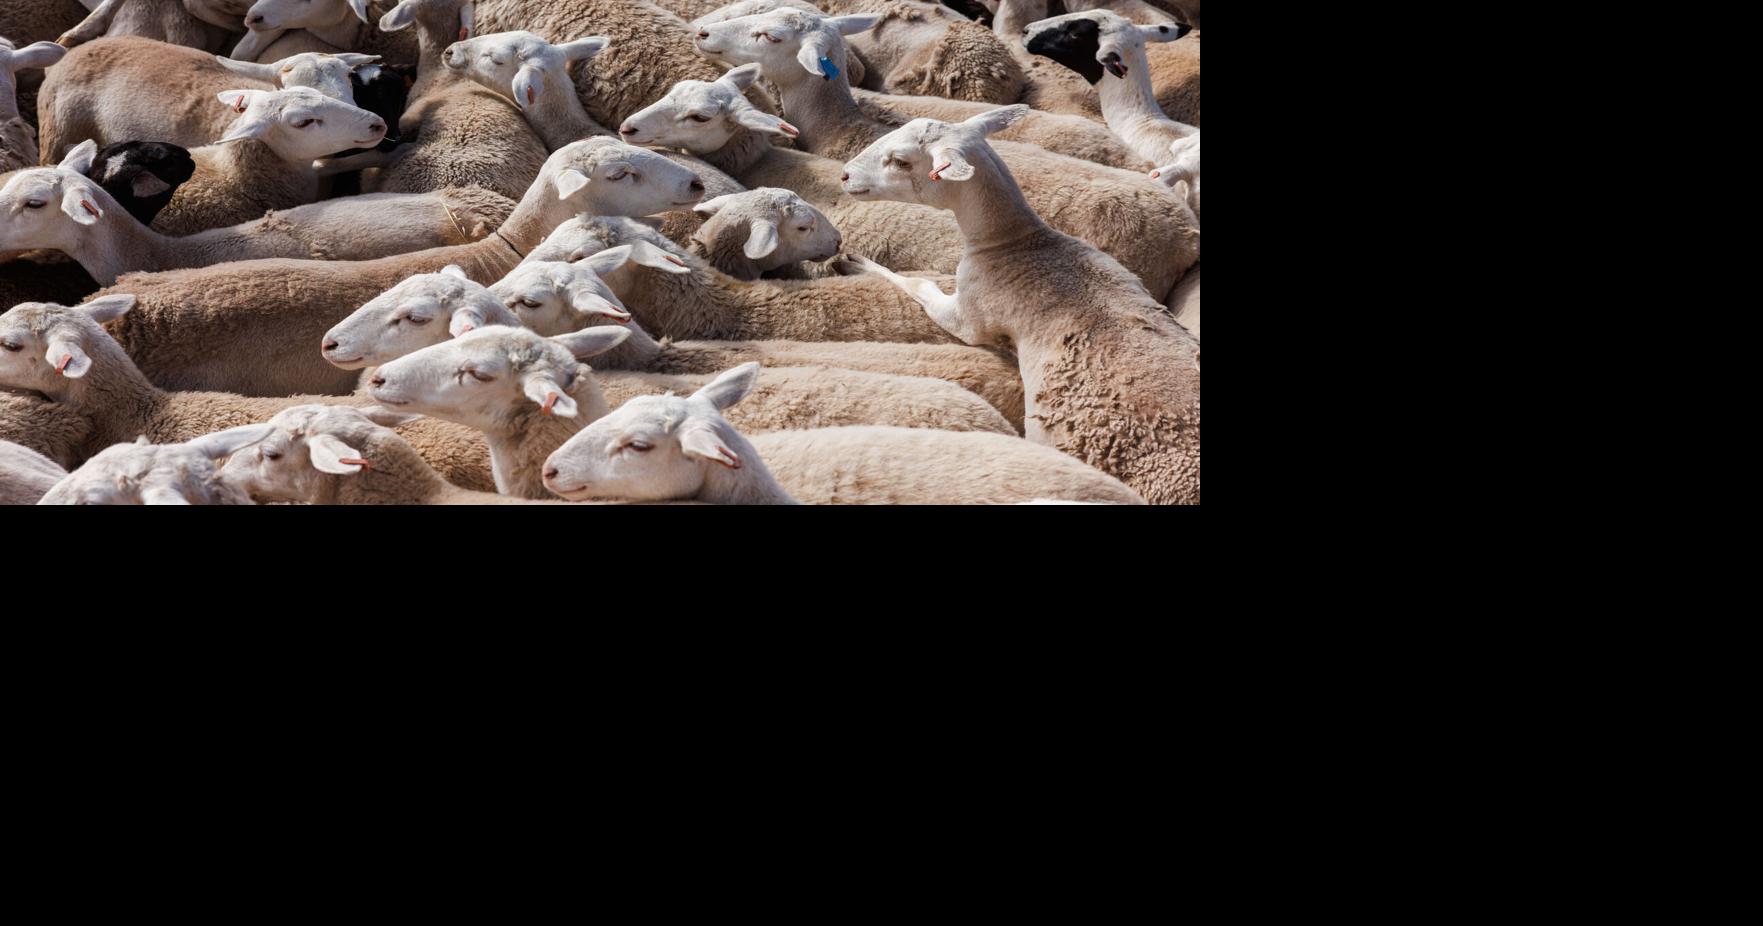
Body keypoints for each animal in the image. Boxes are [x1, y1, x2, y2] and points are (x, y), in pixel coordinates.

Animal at [840, 106, 1200, 503]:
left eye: (901, 161)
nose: (844, 175)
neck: (1012, 241)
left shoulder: (968, 317)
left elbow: (918, 284)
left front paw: (857, 262)